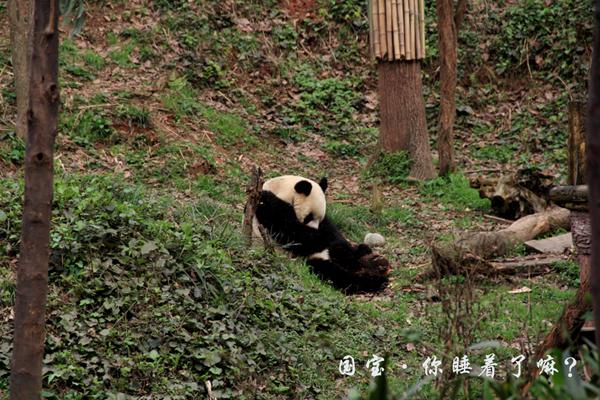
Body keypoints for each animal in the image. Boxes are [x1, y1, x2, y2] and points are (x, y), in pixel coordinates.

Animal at [254, 176, 390, 294]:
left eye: (319, 218)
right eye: (309, 217)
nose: (315, 229)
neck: (281, 189)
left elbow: (330, 230)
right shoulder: (269, 214)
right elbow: (292, 230)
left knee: (348, 255)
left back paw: (368, 258)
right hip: (301, 259)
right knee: (335, 274)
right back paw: (373, 279)